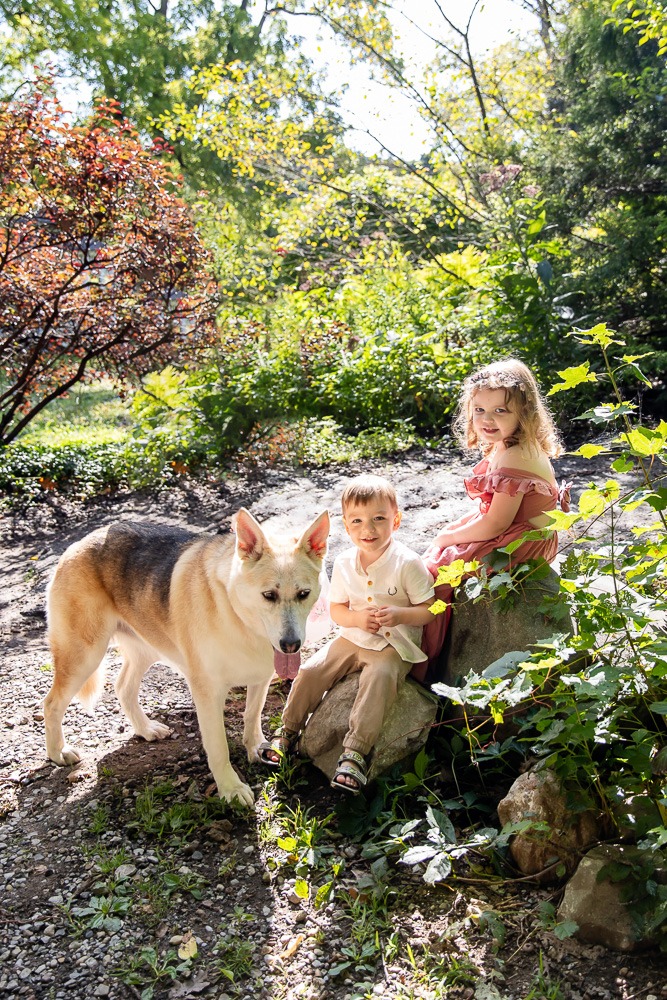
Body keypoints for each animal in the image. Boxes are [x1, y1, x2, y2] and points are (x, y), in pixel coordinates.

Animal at [43, 508, 330, 806]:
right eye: (269, 595)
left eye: (303, 594)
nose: (291, 645)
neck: (235, 615)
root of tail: (80, 542)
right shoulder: (208, 693)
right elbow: (218, 747)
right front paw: (230, 788)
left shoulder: (260, 678)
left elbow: (252, 718)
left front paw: (255, 749)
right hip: (84, 657)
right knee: (51, 704)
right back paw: (58, 753)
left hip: (146, 649)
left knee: (123, 688)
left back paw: (145, 729)